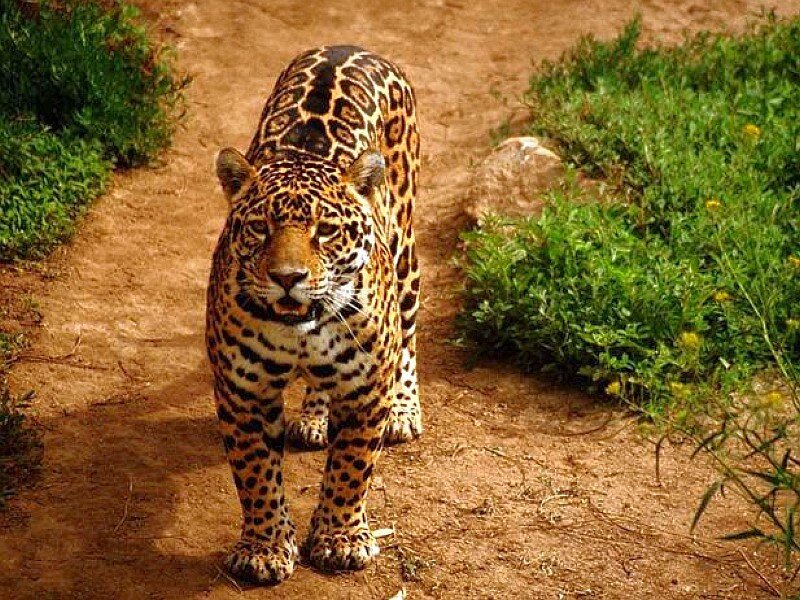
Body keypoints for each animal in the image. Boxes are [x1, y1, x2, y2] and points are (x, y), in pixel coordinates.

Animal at [205, 45, 421, 584]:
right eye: (260, 228)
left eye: (325, 231)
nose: (288, 277)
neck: (300, 329)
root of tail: (354, 46)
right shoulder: (243, 391)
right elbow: (256, 473)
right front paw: (264, 548)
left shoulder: (366, 387)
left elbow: (351, 466)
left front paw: (340, 540)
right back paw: (314, 417)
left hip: (405, 257)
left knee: (409, 337)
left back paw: (405, 411)